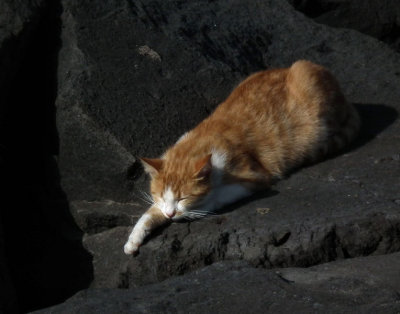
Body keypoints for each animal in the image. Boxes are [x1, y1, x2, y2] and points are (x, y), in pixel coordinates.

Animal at [124, 60, 360, 255]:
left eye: (183, 198)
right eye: (160, 195)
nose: (171, 215)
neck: (201, 143)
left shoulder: (254, 177)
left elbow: (215, 198)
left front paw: (194, 211)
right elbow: (150, 213)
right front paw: (134, 239)